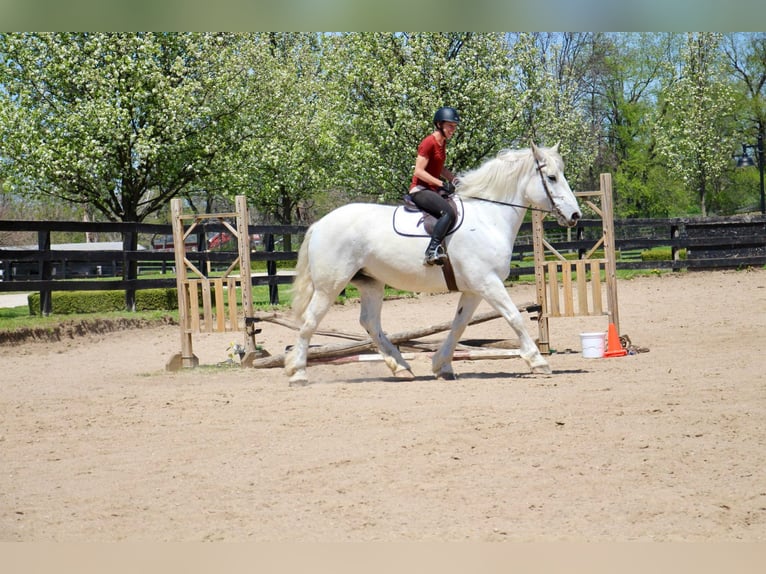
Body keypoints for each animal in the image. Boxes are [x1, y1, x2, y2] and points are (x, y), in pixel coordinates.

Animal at [284, 144, 580, 388]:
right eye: (551, 178)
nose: (575, 215)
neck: (488, 218)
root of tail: (320, 223)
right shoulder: (488, 283)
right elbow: (514, 317)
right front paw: (538, 361)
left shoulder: (474, 289)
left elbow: (459, 325)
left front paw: (442, 366)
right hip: (330, 286)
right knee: (310, 322)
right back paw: (298, 373)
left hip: (371, 283)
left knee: (370, 322)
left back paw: (400, 367)